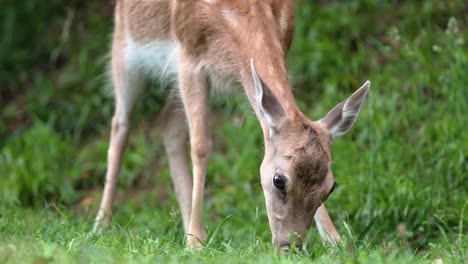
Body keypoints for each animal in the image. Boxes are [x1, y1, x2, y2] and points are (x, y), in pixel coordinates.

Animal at [93, 0, 372, 250]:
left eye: (330, 187)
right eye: (278, 180)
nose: (290, 245)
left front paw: (336, 241)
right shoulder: (189, 58)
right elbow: (201, 147)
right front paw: (196, 242)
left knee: (167, 125)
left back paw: (183, 225)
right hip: (125, 49)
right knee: (121, 125)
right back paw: (100, 226)